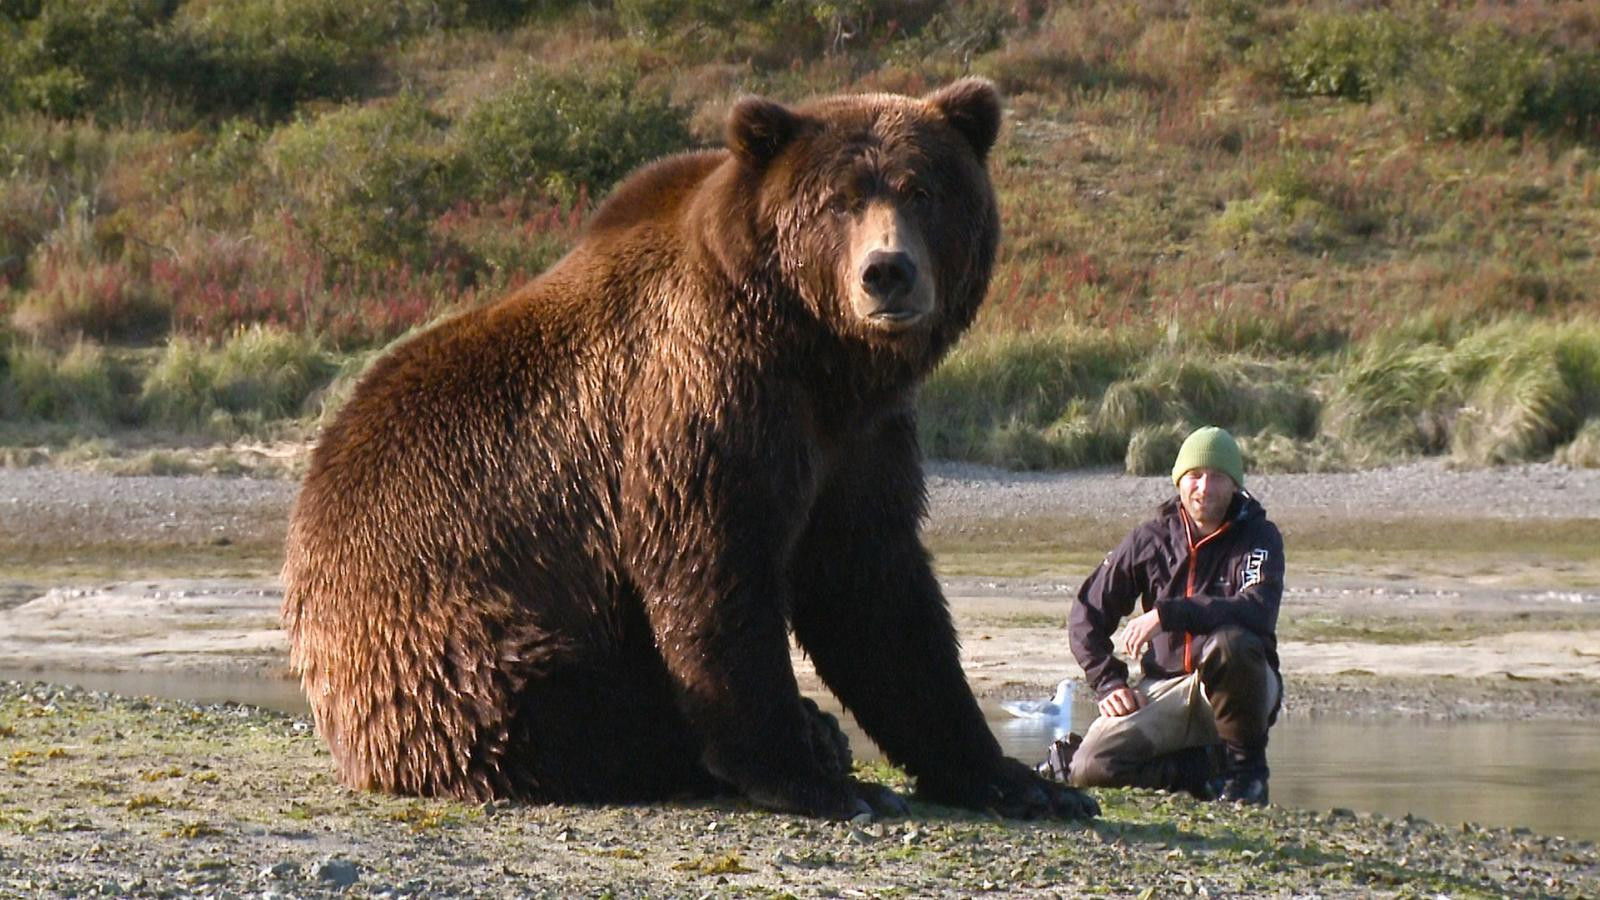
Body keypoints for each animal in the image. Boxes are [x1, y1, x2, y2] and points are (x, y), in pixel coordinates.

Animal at [282, 77, 1098, 821]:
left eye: (921, 189)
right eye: (838, 201)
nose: (887, 272)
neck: (817, 354)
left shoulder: (861, 440)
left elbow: (878, 595)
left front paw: (1018, 782)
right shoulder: (702, 402)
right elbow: (716, 573)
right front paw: (816, 780)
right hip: (442, 637)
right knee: (554, 704)